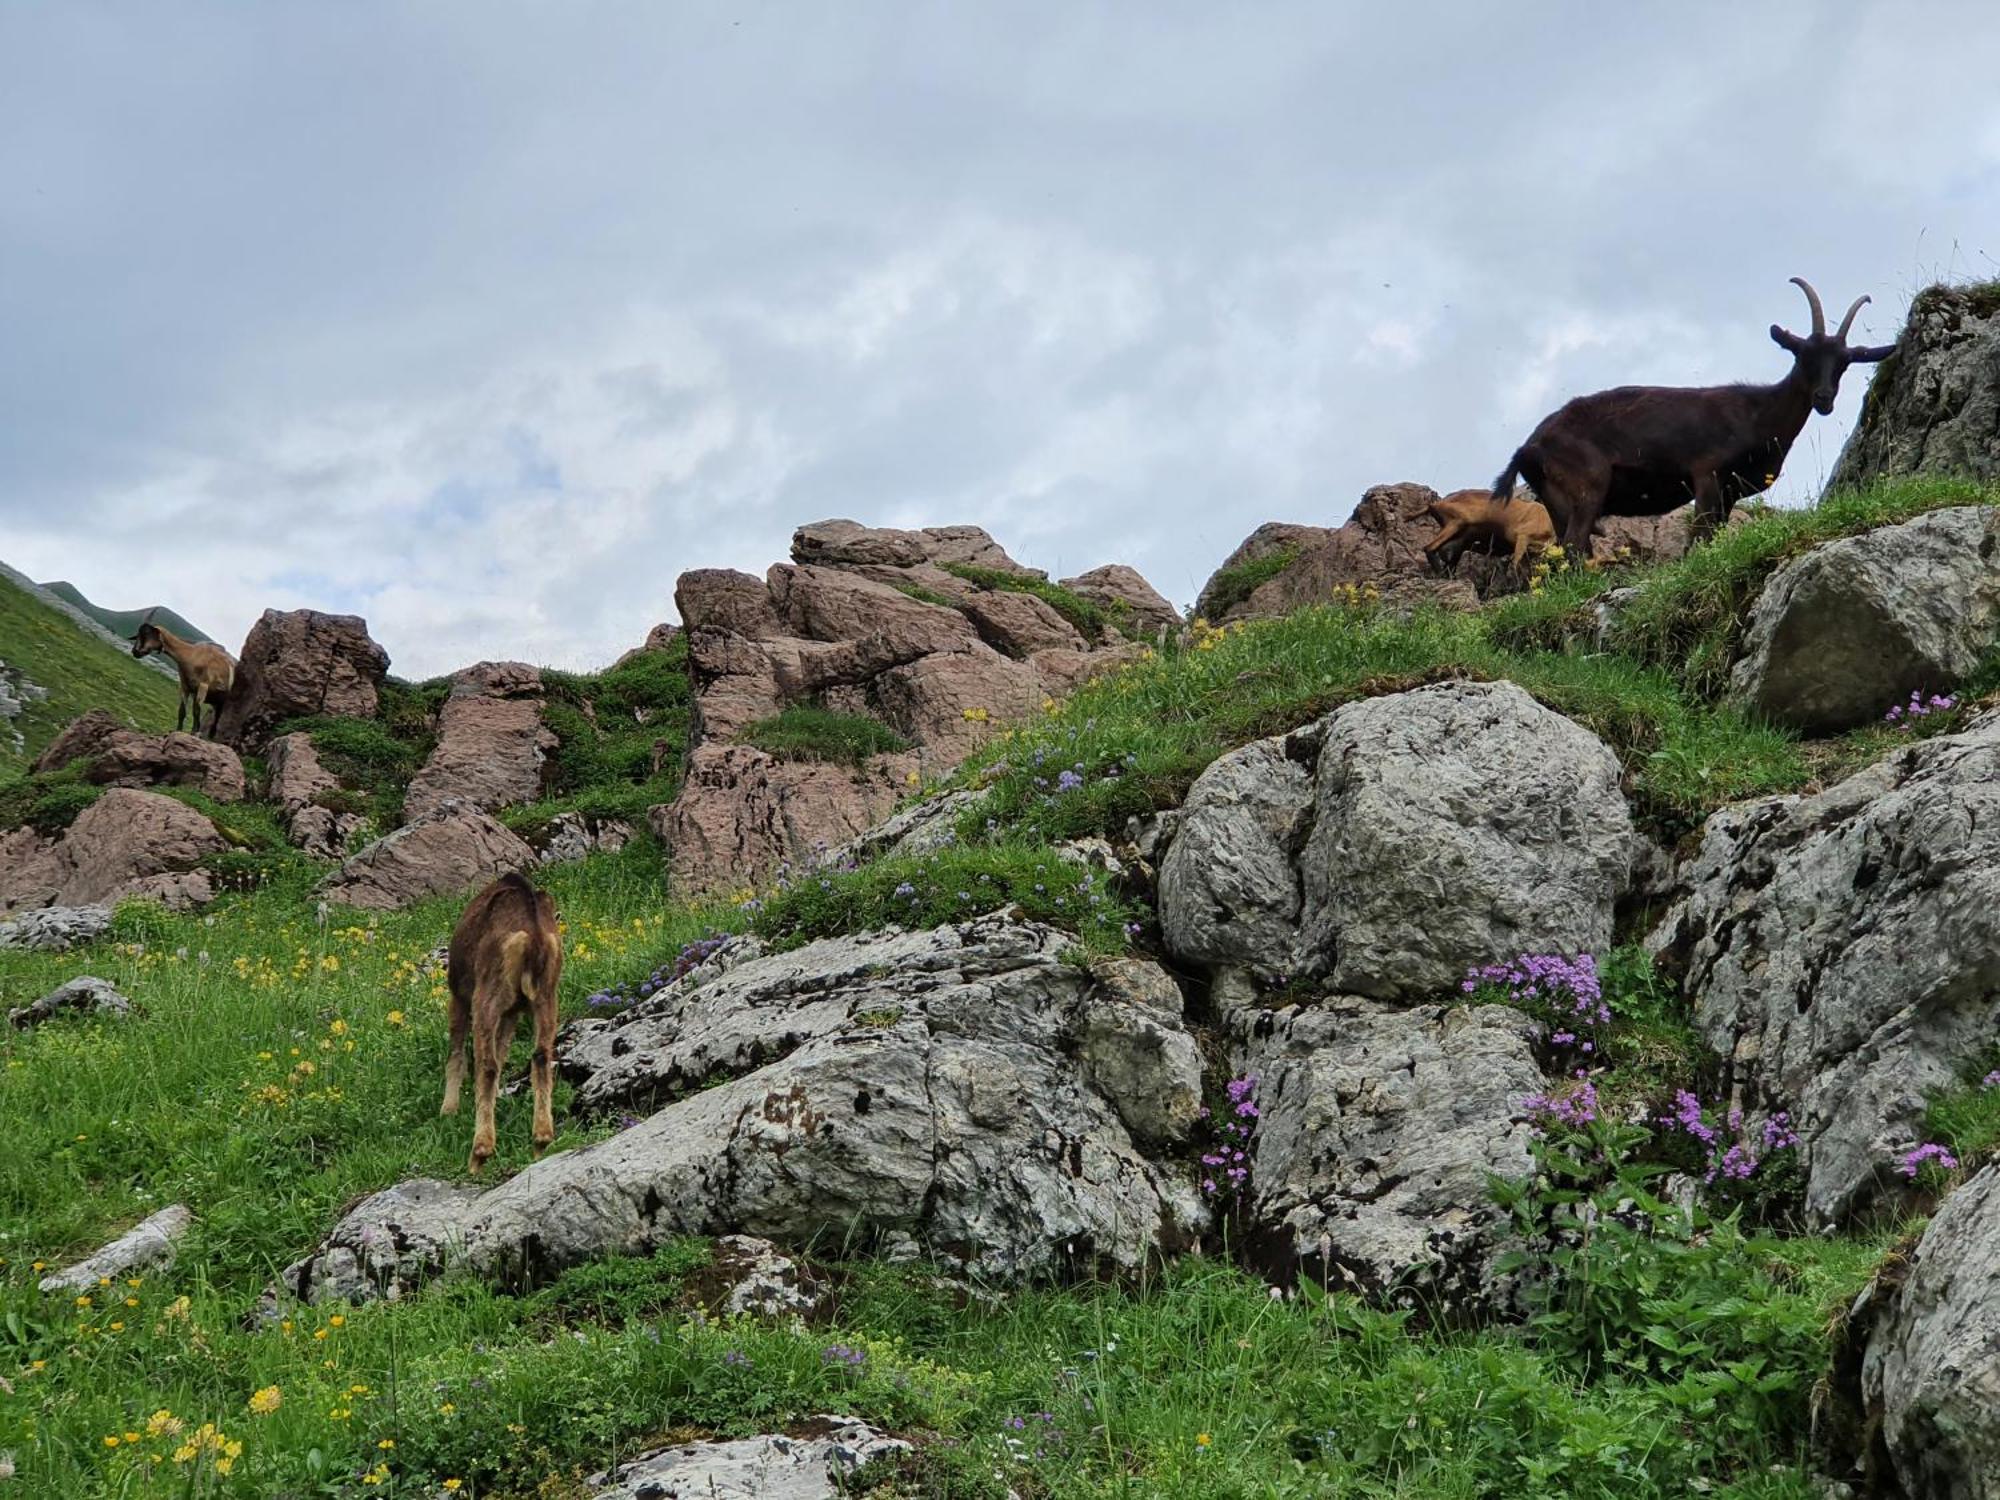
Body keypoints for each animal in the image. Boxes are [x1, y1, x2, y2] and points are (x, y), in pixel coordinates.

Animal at [129, 612, 236, 744]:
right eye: (138, 635)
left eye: (148, 633)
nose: (135, 651)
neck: (191, 655)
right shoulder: (185, 686)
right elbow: (182, 710)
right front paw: (178, 731)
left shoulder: (203, 685)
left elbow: (196, 710)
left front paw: (194, 732)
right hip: (213, 698)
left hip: (222, 696)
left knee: (218, 714)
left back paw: (211, 735)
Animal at [440, 876, 564, 1184]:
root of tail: (534, 942)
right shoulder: (513, 1012)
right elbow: (504, 1047)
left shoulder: (459, 995)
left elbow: (457, 1055)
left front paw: (448, 1109)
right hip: (547, 995)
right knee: (541, 1055)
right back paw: (541, 1139)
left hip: (487, 994)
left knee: (487, 1064)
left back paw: (480, 1152)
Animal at [1424, 488, 1560, 576]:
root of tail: (1435, 505)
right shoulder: (1522, 537)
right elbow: (1515, 566)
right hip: (1456, 523)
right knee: (1428, 548)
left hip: (1458, 540)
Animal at [1496, 276, 1896, 552]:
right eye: (1803, 355)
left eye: (1843, 363)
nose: (1824, 398)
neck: (1758, 414)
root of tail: (1529, 447)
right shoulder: (1706, 474)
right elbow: (1698, 538)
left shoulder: (1730, 492)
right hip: (1587, 487)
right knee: (1574, 546)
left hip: (1556, 499)